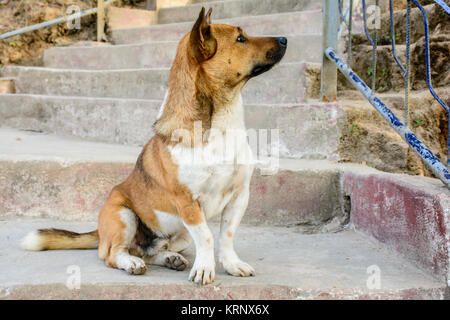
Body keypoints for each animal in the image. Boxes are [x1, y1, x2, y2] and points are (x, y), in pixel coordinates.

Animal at [21, 6, 286, 284]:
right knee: (114, 254)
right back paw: (131, 263)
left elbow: (226, 236)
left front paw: (231, 264)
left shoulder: (239, 195)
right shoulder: (188, 204)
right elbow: (206, 237)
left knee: (152, 250)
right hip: (124, 215)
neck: (220, 123)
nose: (284, 39)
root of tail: (99, 232)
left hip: (180, 234)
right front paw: (205, 268)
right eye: (240, 39)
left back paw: (169, 259)